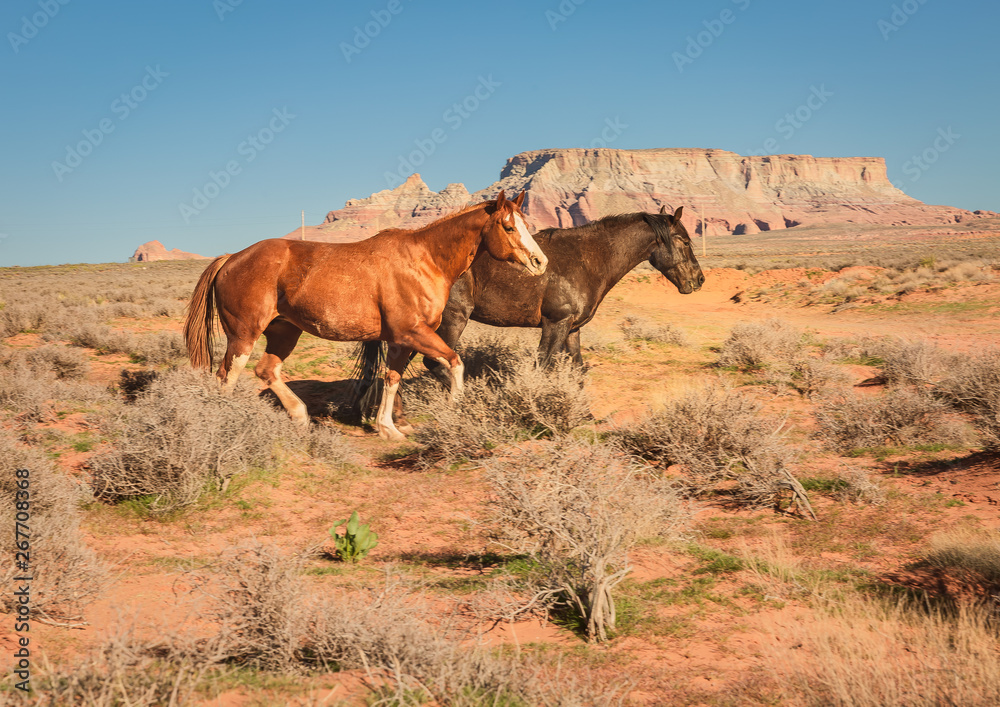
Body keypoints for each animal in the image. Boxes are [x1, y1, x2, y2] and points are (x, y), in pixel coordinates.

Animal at [183, 190, 548, 442]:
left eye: (527, 224)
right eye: (508, 226)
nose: (540, 262)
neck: (423, 261)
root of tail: (231, 258)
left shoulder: (402, 341)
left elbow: (391, 378)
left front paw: (388, 428)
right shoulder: (413, 333)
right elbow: (455, 364)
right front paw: (455, 412)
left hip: (284, 332)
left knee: (267, 370)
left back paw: (301, 417)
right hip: (244, 334)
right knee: (228, 375)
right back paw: (226, 422)